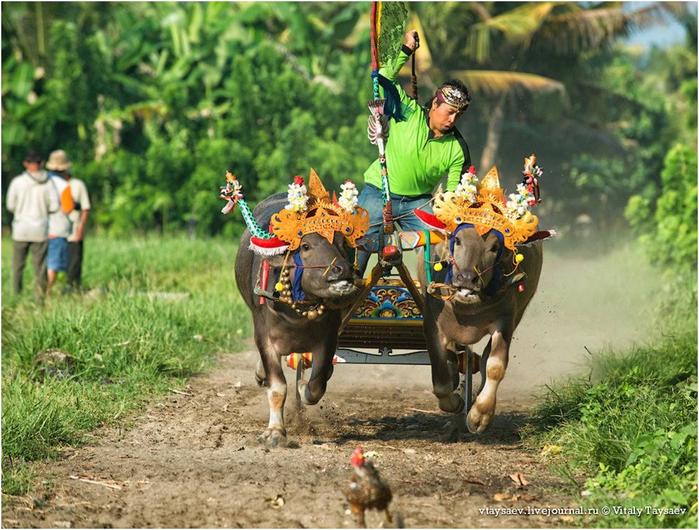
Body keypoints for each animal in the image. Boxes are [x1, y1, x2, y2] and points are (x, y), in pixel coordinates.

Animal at [238, 192, 364, 448]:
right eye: (306, 246)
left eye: (342, 243)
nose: (342, 271)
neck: (296, 314)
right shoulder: (264, 337)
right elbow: (277, 387)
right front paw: (275, 432)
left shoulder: (328, 338)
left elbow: (316, 386)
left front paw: (304, 386)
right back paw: (260, 374)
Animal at [418, 226, 544, 434]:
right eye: (458, 240)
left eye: (494, 247)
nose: (468, 279)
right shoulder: (432, 324)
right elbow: (441, 376)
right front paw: (455, 403)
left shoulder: (505, 321)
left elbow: (495, 366)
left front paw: (480, 415)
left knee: (484, 359)